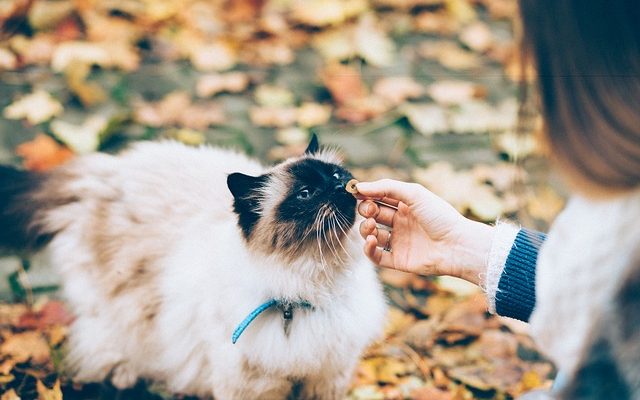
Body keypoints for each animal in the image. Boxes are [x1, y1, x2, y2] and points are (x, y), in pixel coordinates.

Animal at [0, 136, 384, 398]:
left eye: (336, 174)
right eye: (305, 194)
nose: (340, 185)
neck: (311, 288)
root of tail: (105, 170)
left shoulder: (327, 377)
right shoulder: (253, 386)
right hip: (119, 310)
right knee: (101, 342)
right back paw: (125, 374)